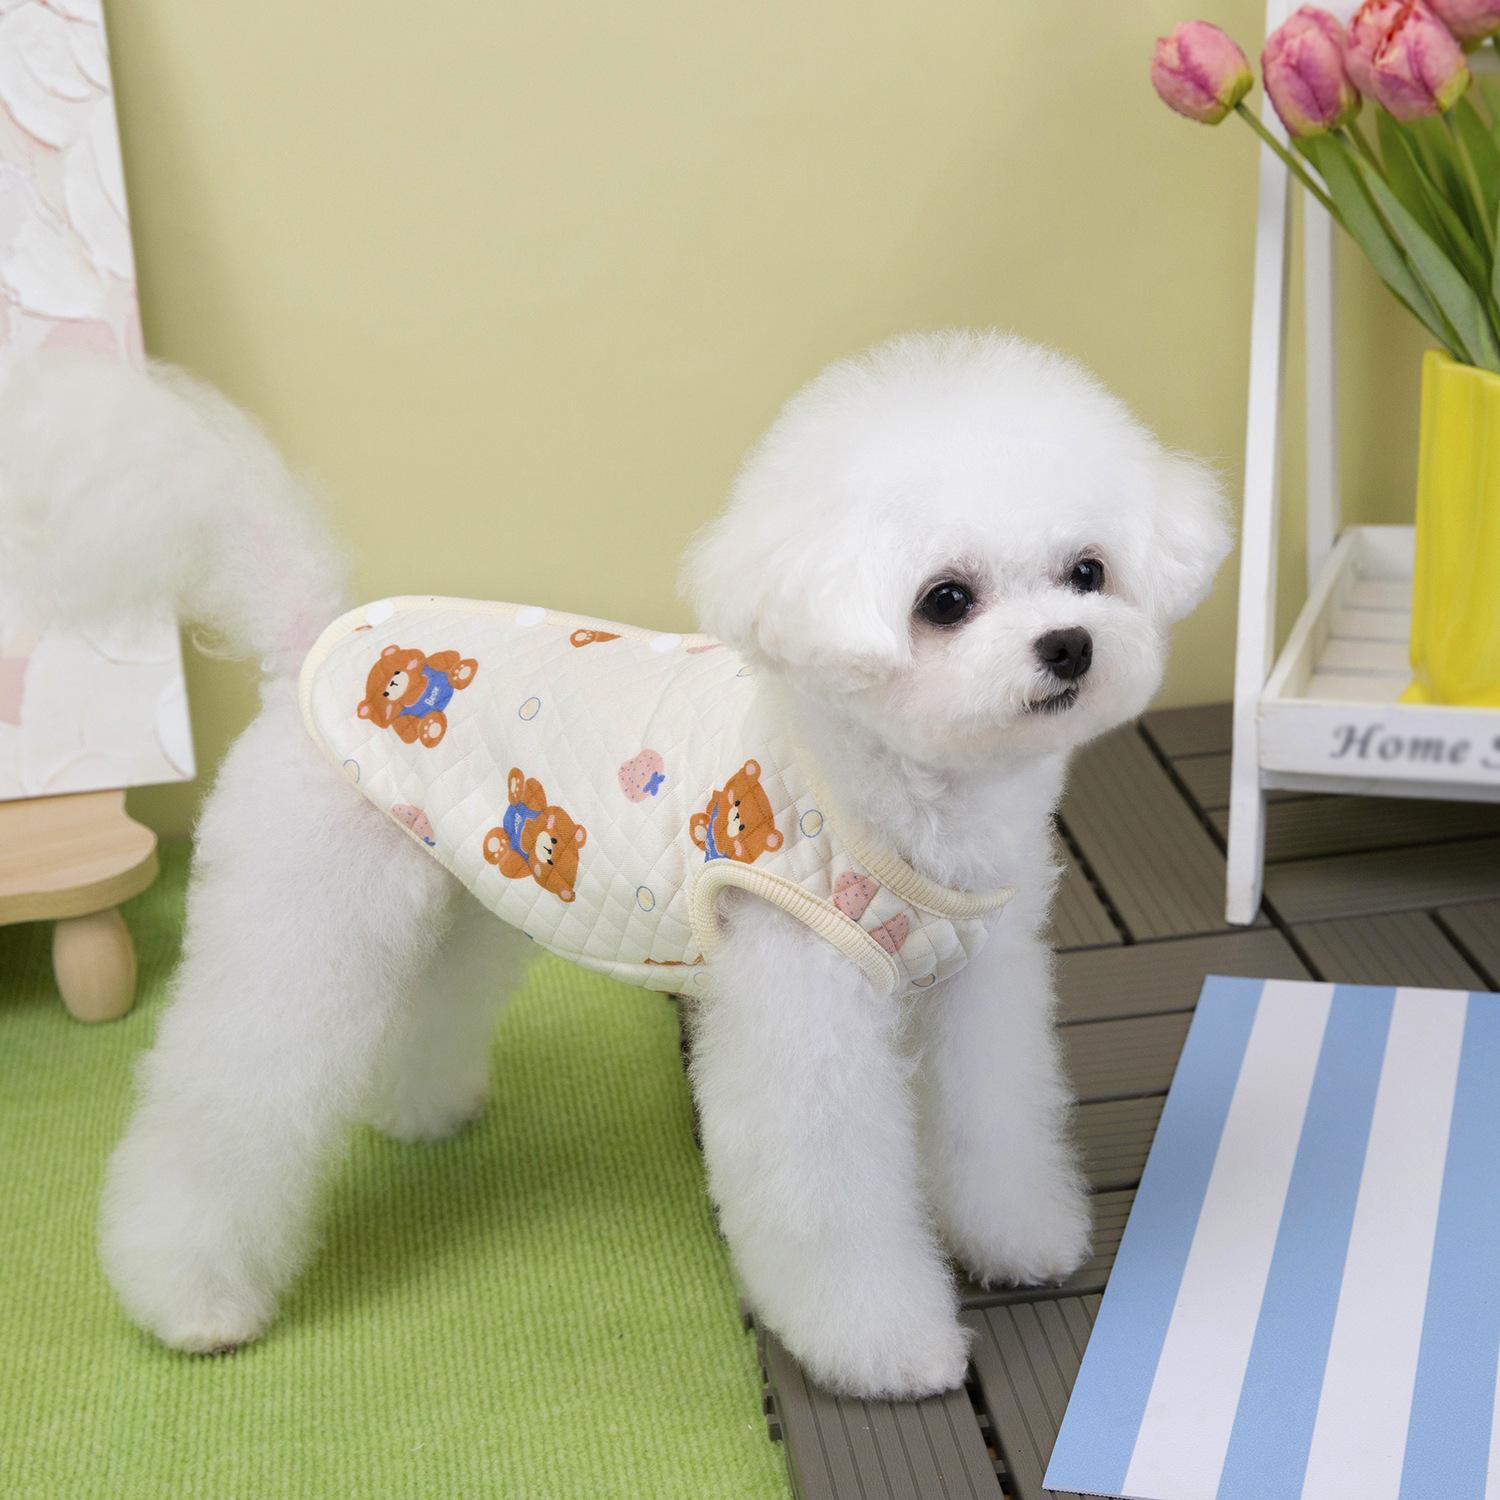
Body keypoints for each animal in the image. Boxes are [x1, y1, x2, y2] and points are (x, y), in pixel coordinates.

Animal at [483, 768, 587, 903]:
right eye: (554, 840)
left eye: (550, 863)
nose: (548, 850)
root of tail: (507, 814)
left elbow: (509, 866)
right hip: (532, 802)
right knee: (530, 787)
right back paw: (515, 786)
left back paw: (496, 846)